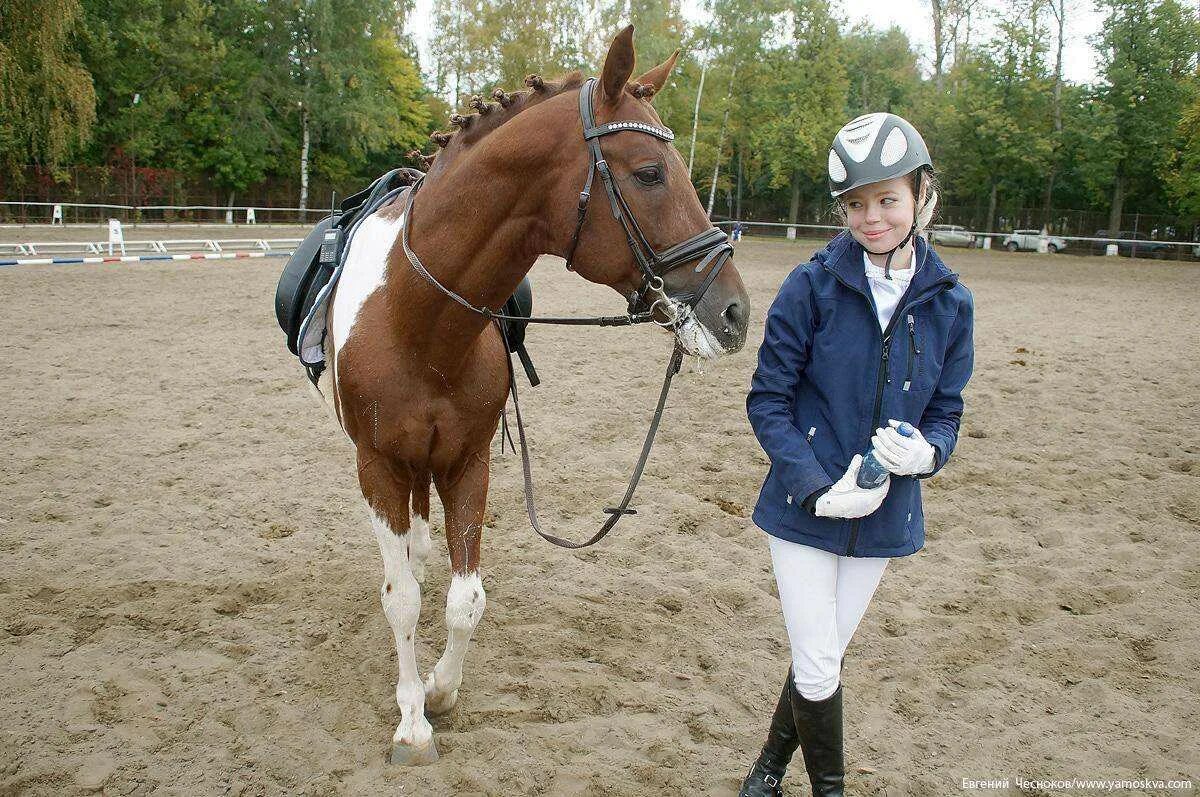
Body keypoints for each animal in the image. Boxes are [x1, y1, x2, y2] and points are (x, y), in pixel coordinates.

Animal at [312, 26, 748, 768]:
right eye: (649, 173)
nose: (736, 314)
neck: (419, 318)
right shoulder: (378, 467)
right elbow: (401, 599)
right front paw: (411, 721)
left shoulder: (467, 462)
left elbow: (466, 599)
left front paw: (440, 692)